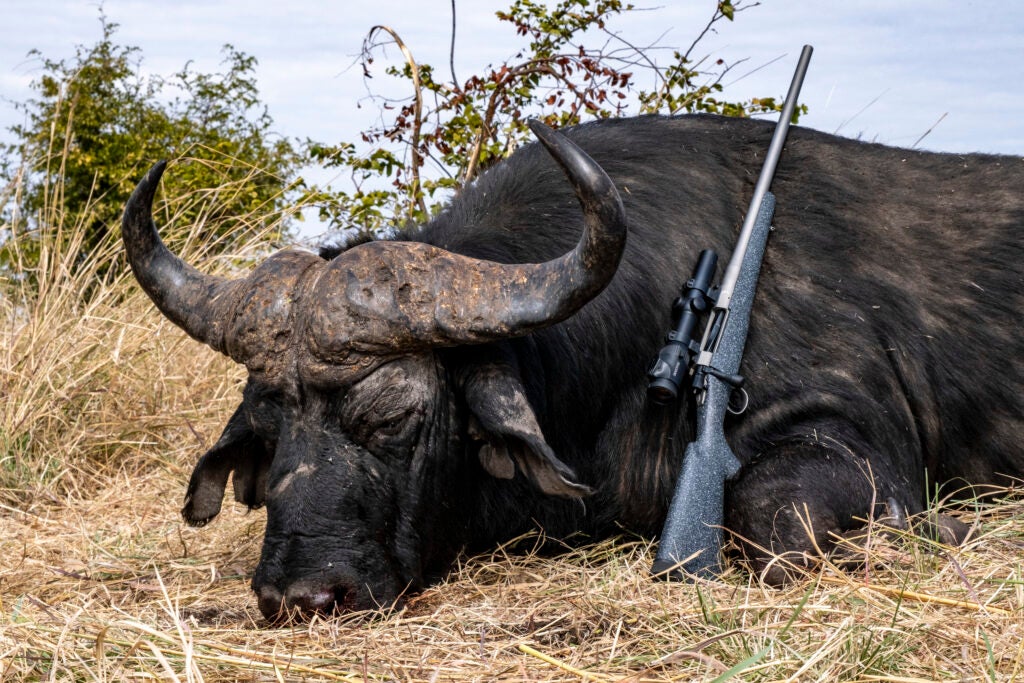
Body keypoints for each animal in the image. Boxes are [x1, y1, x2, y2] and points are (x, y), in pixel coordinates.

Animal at [121, 116, 1024, 618]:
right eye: (271, 429)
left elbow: (774, 516)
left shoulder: (850, 438)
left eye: (393, 415)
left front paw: (946, 530)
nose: (300, 598)